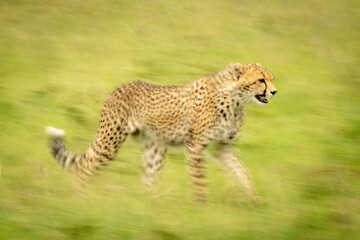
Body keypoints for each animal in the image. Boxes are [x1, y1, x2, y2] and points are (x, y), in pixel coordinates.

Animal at [46, 63, 278, 201]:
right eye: (261, 80)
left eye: (271, 78)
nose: (274, 92)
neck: (236, 101)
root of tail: (120, 87)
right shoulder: (195, 145)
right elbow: (199, 179)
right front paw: (200, 206)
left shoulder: (222, 148)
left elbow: (242, 171)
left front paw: (254, 199)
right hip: (110, 142)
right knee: (84, 166)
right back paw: (80, 197)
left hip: (155, 148)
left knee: (148, 179)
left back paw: (150, 205)